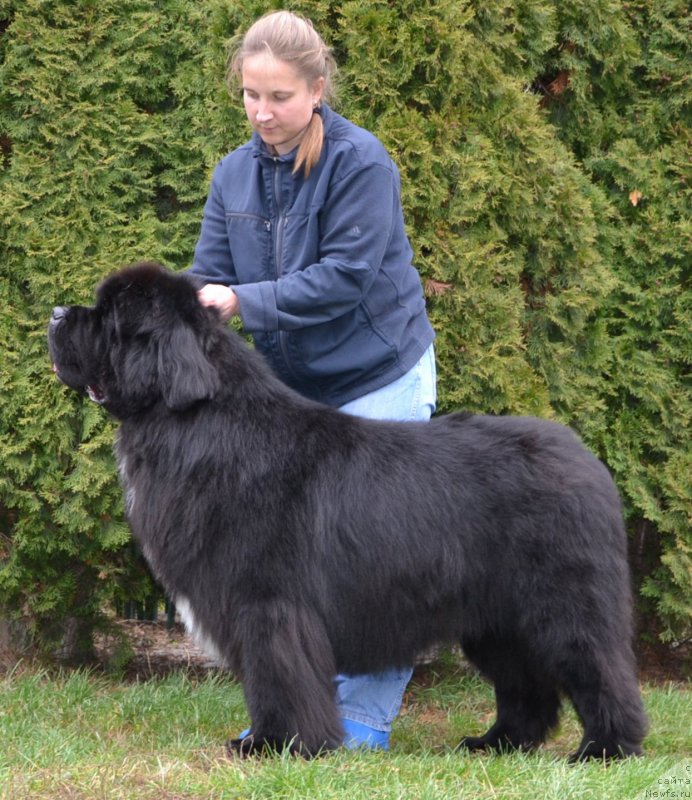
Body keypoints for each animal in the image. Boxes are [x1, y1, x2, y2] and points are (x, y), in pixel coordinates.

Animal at [46, 264, 648, 764]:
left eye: (109, 318)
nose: (54, 313)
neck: (200, 425)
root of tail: (586, 459)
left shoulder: (268, 606)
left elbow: (276, 679)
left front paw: (275, 745)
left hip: (563, 605)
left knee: (600, 672)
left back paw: (605, 750)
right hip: (496, 621)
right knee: (528, 688)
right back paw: (496, 743)